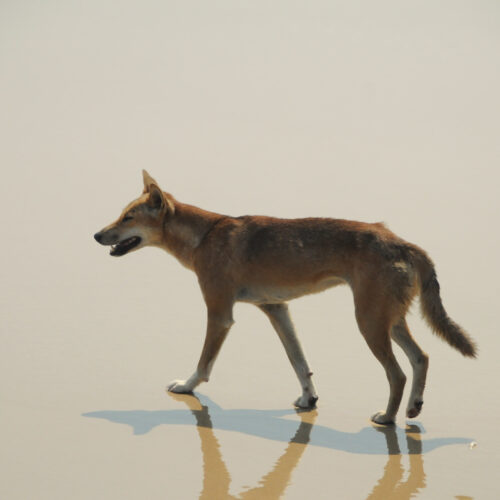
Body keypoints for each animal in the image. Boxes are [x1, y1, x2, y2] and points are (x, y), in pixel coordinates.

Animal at [93, 170, 476, 424]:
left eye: (127, 217)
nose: (96, 234)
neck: (204, 236)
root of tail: (402, 242)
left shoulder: (219, 313)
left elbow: (204, 364)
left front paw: (187, 386)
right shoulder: (276, 308)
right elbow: (299, 361)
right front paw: (309, 398)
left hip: (369, 322)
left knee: (397, 373)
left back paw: (388, 417)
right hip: (389, 320)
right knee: (421, 357)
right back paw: (413, 407)